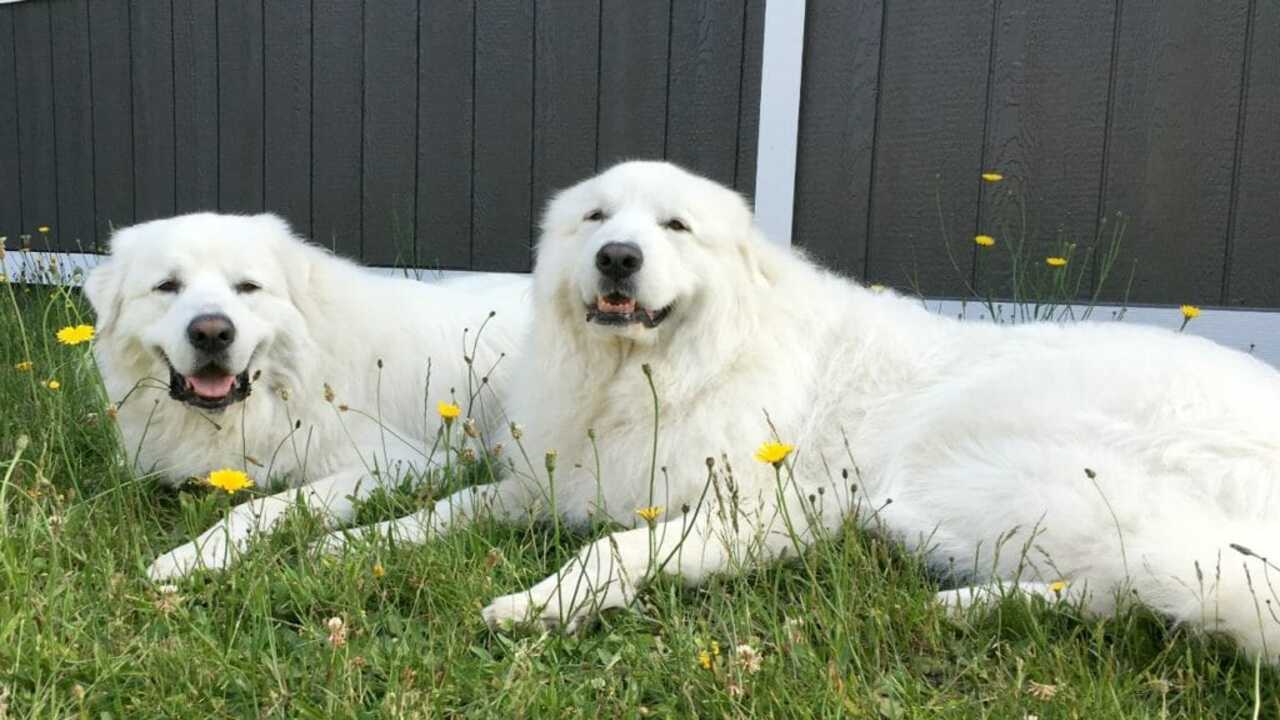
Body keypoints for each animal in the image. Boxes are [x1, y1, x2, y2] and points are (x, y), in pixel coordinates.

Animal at [86, 211, 529, 576]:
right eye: (167, 286)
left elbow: (261, 505)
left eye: (248, 287)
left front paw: (194, 556)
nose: (212, 332)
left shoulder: (407, 463)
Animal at [325, 161, 1280, 661]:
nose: (618, 257)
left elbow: (612, 550)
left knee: (1154, 588)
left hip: (975, 477)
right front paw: (351, 542)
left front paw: (541, 604)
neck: (670, 374)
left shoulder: (761, 512)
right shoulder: (553, 480)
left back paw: (972, 609)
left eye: (675, 228)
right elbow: (446, 510)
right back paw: (966, 609)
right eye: (595, 218)